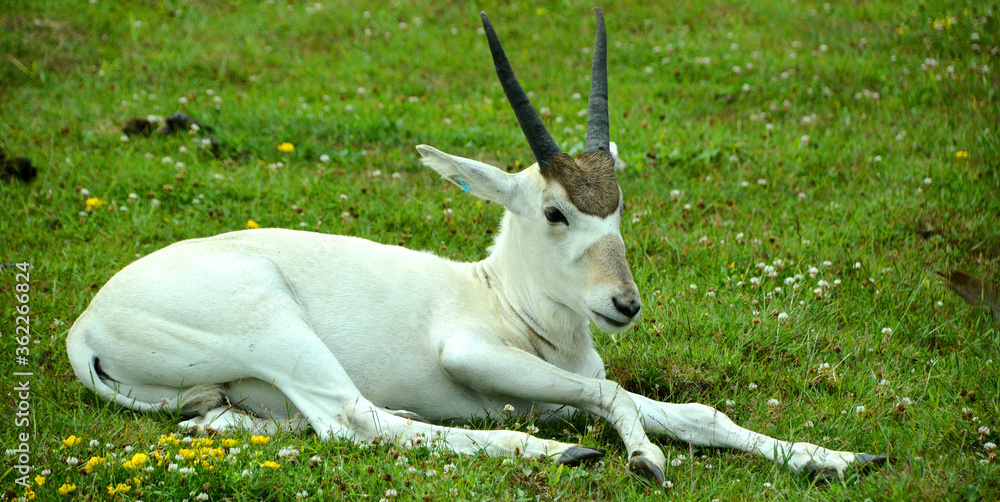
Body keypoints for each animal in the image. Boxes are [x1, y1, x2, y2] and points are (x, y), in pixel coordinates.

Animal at [66, 9, 888, 485]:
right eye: (556, 212)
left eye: (619, 206)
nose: (624, 304)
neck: (499, 297)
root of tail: (85, 326)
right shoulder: (474, 356)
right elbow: (615, 395)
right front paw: (644, 458)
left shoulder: (557, 381)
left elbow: (691, 411)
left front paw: (840, 458)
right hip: (275, 329)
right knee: (356, 420)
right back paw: (565, 454)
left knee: (269, 420)